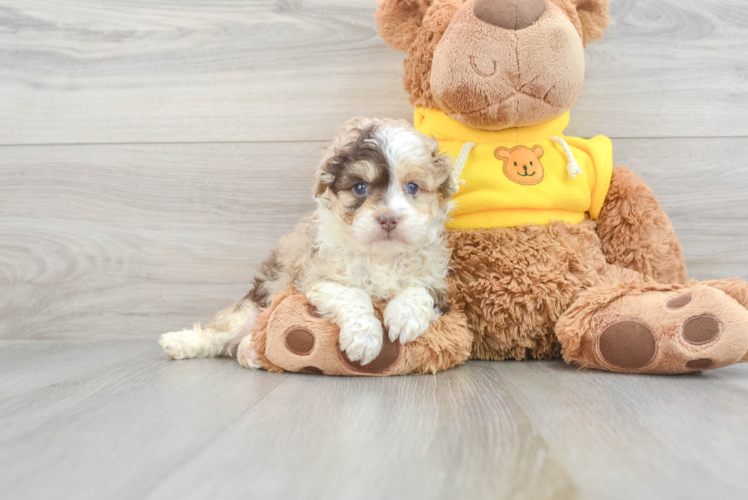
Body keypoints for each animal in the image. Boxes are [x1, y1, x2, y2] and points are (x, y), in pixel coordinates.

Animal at [159, 118, 456, 368]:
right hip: (253, 305)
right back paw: (179, 342)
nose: (388, 219)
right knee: (220, 332)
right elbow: (353, 294)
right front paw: (364, 339)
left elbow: (417, 289)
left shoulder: (437, 283)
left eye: (413, 187)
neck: (380, 257)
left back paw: (251, 351)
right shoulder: (313, 278)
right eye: (360, 187)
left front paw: (406, 317)